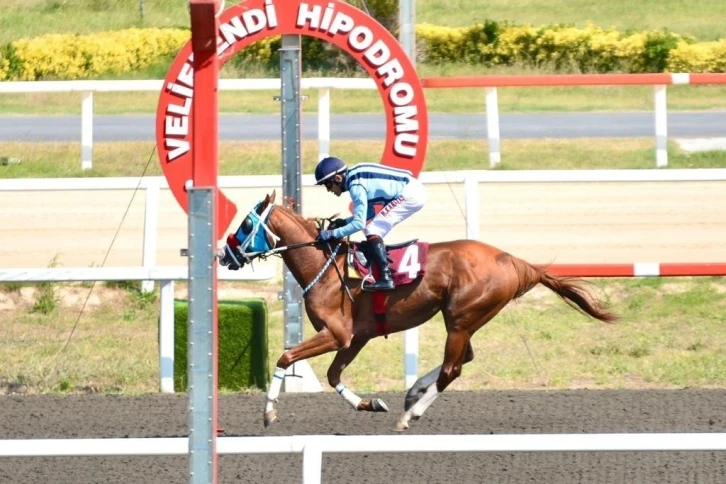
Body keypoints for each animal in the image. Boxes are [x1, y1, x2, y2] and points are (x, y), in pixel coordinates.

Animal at [220, 191, 616, 430]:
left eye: (246, 224)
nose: (225, 254)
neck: (326, 268)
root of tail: (513, 260)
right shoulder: (355, 338)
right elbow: (333, 377)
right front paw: (370, 404)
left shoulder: (337, 334)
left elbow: (286, 357)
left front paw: (269, 412)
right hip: (465, 319)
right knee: (463, 359)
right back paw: (413, 392)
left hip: (460, 318)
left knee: (453, 368)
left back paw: (411, 413)